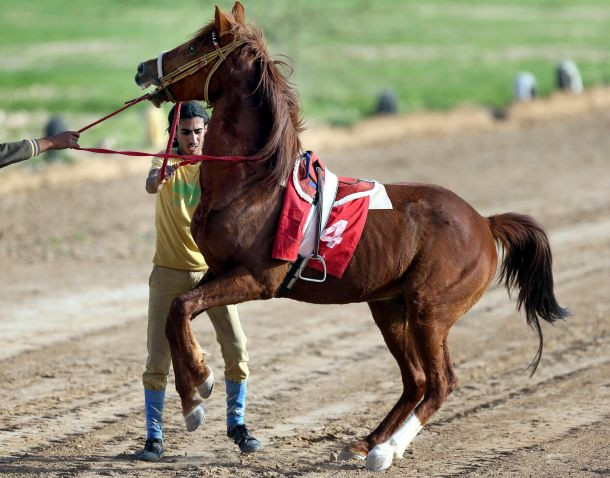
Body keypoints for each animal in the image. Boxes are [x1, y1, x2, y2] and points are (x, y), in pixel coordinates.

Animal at [133, 0, 564, 470]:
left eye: (197, 45)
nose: (143, 67)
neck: (254, 182)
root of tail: (484, 223)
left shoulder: (256, 280)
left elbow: (181, 308)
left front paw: (199, 389)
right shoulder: (219, 271)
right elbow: (176, 312)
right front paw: (193, 397)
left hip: (430, 312)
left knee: (440, 382)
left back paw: (386, 451)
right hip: (390, 309)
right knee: (415, 381)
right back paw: (366, 441)